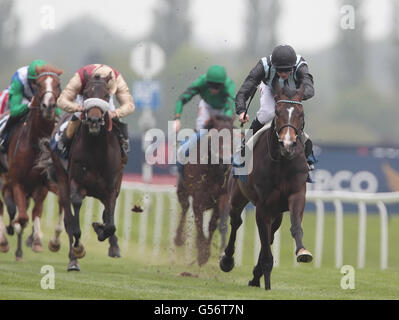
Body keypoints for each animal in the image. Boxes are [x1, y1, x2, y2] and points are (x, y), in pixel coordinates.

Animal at [0, 65, 63, 260]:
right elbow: (21, 216)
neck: (36, 142)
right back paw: (5, 241)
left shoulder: (42, 184)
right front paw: (16, 229)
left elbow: (36, 211)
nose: (49, 106)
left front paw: (37, 241)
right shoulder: (17, 182)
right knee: (3, 207)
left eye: (58, 85)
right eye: (39, 85)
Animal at [41, 71, 123, 272]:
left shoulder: (112, 187)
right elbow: (74, 218)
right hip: (62, 180)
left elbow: (110, 223)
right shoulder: (76, 182)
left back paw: (112, 244)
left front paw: (101, 230)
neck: (97, 152)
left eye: (107, 96)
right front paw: (78, 249)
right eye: (86, 94)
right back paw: (73, 260)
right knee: (68, 220)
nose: (94, 120)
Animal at [175, 112, 234, 264]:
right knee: (185, 207)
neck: (214, 170)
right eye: (217, 136)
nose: (225, 162)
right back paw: (179, 238)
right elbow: (199, 222)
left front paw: (205, 251)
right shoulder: (198, 198)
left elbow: (213, 224)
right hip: (182, 189)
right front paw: (202, 252)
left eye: (232, 137)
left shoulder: (223, 197)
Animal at [220, 82, 314, 290]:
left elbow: (295, 226)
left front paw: (302, 252)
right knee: (236, 222)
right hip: (237, 196)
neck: (282, 163)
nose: (287, 144)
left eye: (301, 114)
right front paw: (266, 281)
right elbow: (264, 246)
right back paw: (227, 260)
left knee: (269, 234)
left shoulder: (296, 194)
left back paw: (256, 275)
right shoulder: (262, 206)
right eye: (278, 113)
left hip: (277, 211)